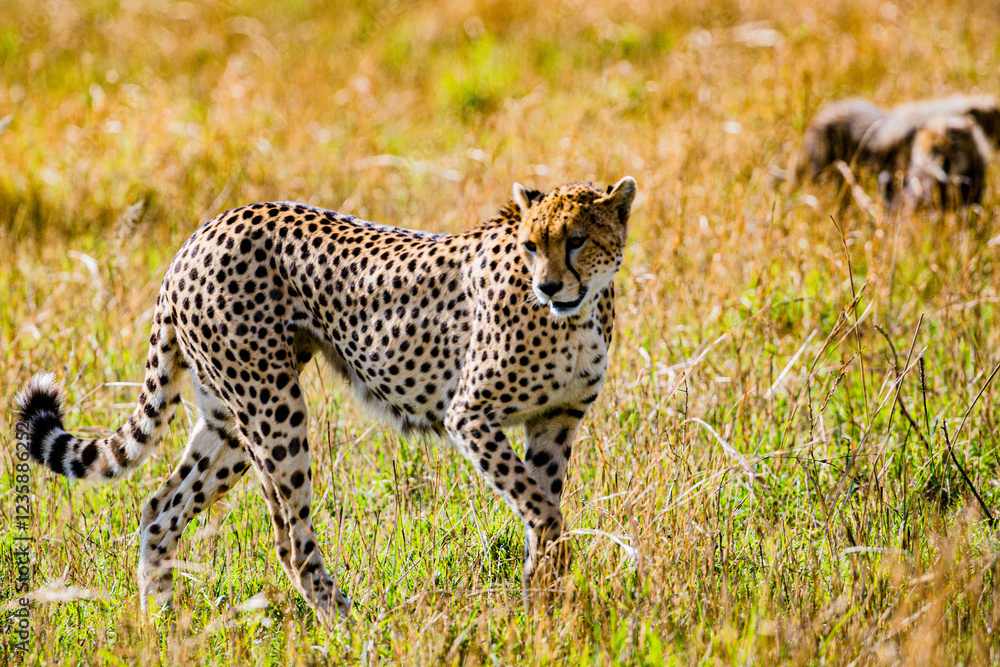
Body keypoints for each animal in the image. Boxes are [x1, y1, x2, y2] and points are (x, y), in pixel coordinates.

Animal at [13, 175, 637, 622]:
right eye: (531, 246)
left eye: (576, 240)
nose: (548, 286)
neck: (577, 313)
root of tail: (201, 233)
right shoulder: (470, 416)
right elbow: (542, 507)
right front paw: (549, 589)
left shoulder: (554, 419)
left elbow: (541, 506)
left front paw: (545, 605)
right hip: (272, 409)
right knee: (290, 539)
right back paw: (350, 626)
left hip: (229, 419)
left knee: (160, 508)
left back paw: (162, 625)